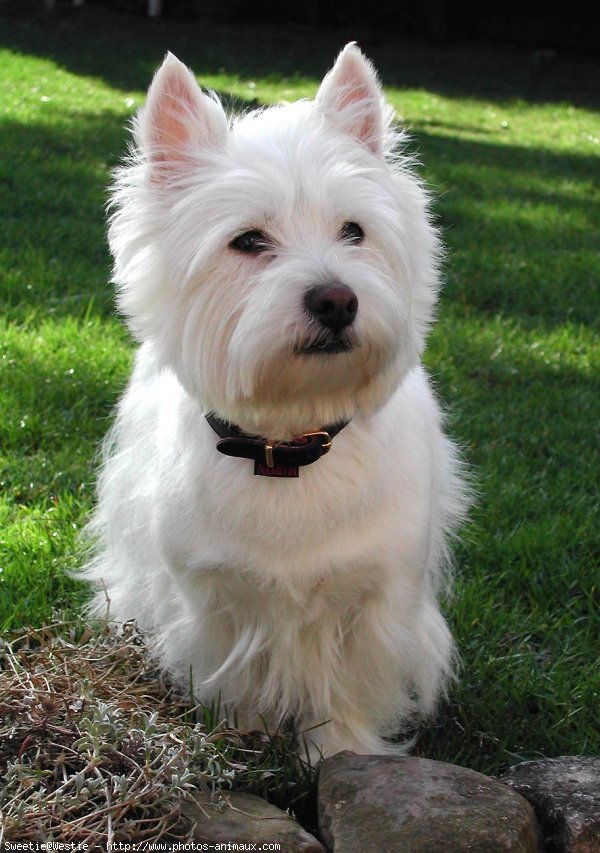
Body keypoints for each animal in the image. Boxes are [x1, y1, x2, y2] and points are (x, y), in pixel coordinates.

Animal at [83, 43, 468, 756]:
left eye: (354, 231)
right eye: (248, 241)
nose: (337, 300)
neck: (288, 444)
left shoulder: (375, 598)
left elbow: (348, 689)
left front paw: (343, 755)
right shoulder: (214, 598)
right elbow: (236, 676)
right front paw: (247, 736)